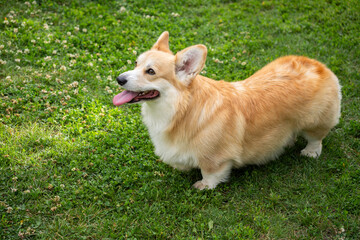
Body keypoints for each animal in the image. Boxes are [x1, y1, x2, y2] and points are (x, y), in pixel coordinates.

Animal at [112, 31, 340, 189]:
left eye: (150, 72)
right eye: (135, 63)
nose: (119, 78)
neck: (181, 109)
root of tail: (318, 65)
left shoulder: (215, 158)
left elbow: (210, 173)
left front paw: (204, 186)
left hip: (315, 122)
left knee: (316, 138)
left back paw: (310, 152)